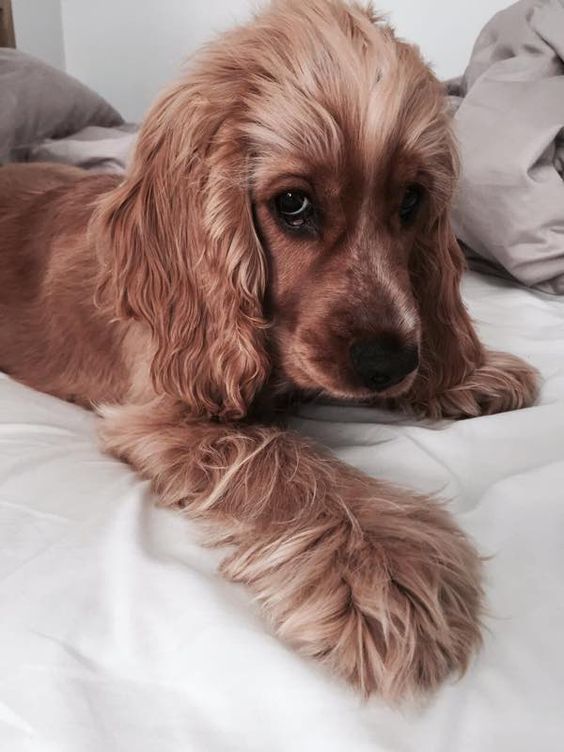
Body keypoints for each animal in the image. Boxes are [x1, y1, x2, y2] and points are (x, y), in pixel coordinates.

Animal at [0, 0, 536, 704]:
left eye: (411, 201)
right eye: (293, 204)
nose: (387, 365)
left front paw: (468, 372)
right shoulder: (166, 411)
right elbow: (283, 459)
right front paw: (386, 559)